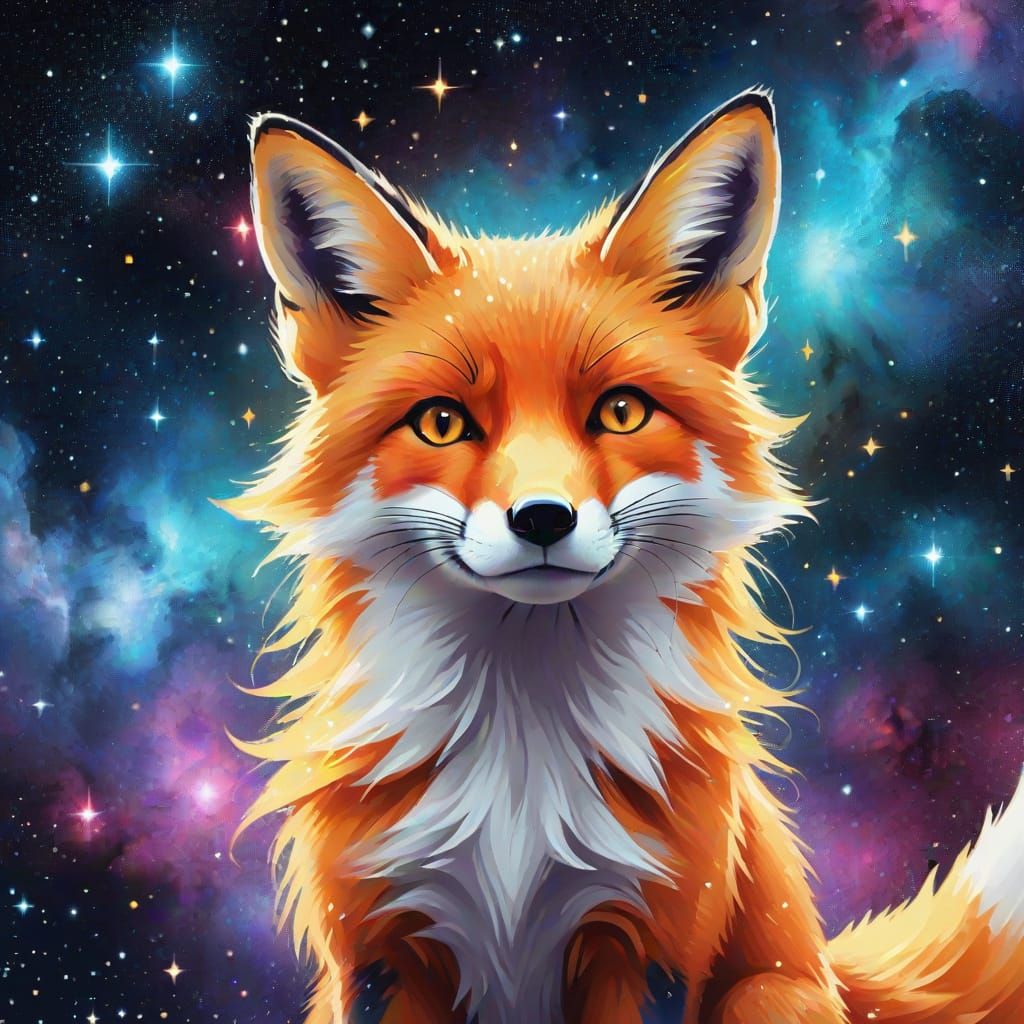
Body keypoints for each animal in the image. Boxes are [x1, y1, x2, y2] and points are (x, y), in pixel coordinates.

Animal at [222, 90, 1024, 1024]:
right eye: (442, 422)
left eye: (620, 411)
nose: (541, 518)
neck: (519, 763)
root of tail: (829, 969)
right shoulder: (385, 950)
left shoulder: (645, 940)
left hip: (764, 995)